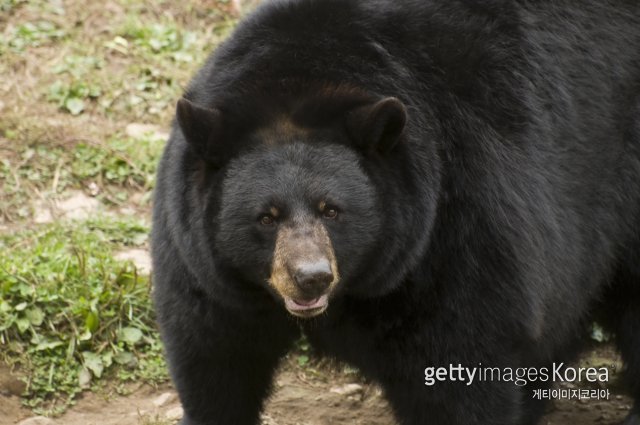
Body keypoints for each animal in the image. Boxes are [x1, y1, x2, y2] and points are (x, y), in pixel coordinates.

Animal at [152, 1, 640, 422]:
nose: (311, 277)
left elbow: (462, 364)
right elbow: (214, 356)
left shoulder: (454, 227)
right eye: (266, 217)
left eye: (332, 210)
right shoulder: (202, 259)